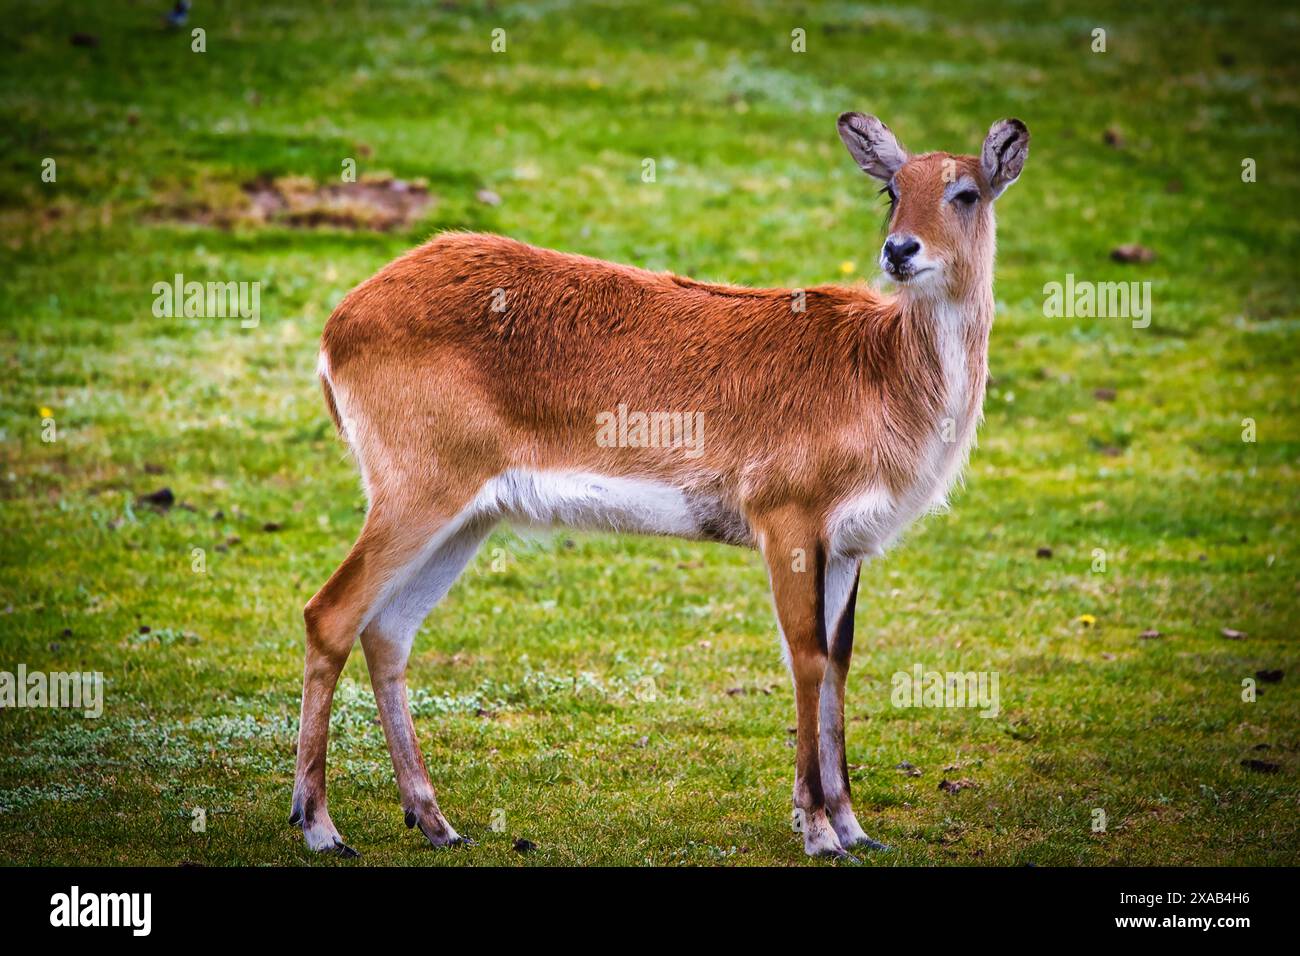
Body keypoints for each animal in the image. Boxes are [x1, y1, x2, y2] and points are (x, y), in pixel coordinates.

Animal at [292, 110, 1024, 858]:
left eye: (966, 191)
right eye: (891, 189)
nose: (900, 249)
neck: (880, 373)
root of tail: (338, 323)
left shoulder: (850, 545)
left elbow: (839, 664)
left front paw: (854, 827)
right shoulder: (787, 519)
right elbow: (806, 658)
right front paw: (819, 830)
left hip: (470, 516)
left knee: (388, 631)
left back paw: (436, 821)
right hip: (417, 492)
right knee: (330, 614)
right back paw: (321, 827)